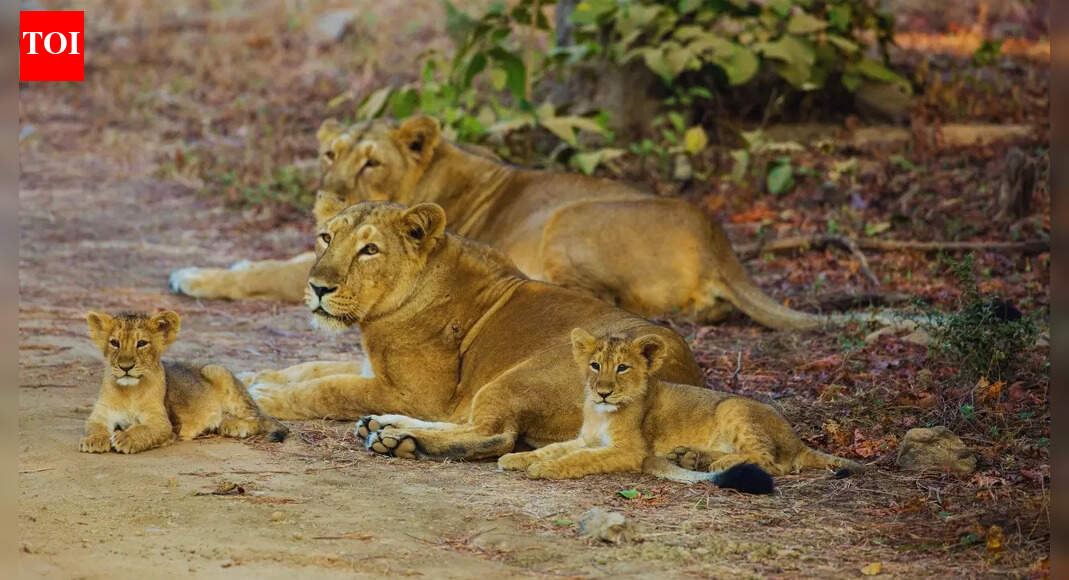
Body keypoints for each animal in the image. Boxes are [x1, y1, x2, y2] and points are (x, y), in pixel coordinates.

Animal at [81, 310, 288, 454]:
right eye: (114, 343)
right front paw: (95, 440)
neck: (128, 392)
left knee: (260, 419)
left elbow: (144, 429)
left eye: (142, 343)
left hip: (217, 371)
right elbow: (93, 426)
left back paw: (233, 426)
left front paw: (125, 439)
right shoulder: (100, 414)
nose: (125, 367)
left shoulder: (163, 423)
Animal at [170, 116, 828, 330]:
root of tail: (718, 238)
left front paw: (194, 277)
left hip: (568, 217)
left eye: (372, 162)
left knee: (604, 299)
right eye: (329, 154)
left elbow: (270, 270)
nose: (327, 194)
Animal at [244, 200, 707, 461]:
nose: (317, 287)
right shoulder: (377, 371)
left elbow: (328, 387)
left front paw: (262, 396)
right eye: (325, 237)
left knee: (495, 436)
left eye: (369, 249)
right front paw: (258, 376)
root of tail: (686, 380)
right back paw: (385, 426)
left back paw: (400, 441)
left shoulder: (419, 394)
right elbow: (313, 367)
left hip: (519, 378)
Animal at [497, 328, 861, 489]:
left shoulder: (630, 450)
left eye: (623, 368)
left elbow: (579, 458)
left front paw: (545, 469)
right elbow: (554, 448)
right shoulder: (585, 438)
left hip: (732, 407)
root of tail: (798, 441)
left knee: (771, 463)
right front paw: (517, 458)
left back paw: (717, 462)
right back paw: (691, 456)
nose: (603, 393)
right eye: (595, 365)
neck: (601, 413)